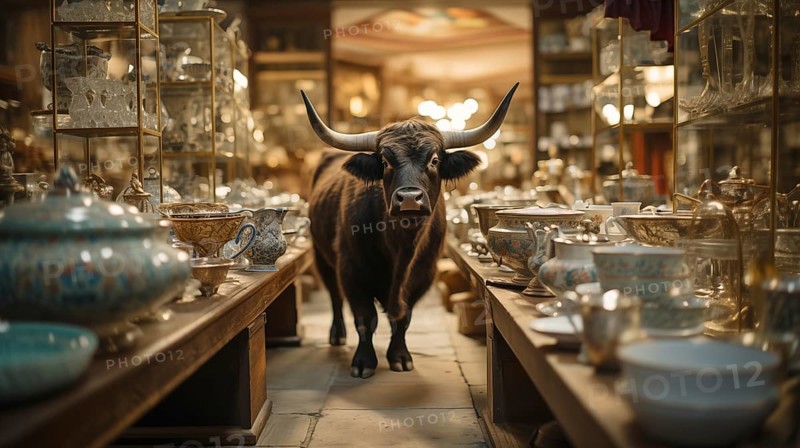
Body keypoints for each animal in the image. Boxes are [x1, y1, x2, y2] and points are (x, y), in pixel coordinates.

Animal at [301, 84, 518, 378]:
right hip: (321, 255)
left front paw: (400, 357)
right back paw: (337, 335)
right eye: (385, 161)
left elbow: (403, 319)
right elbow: (365, 318)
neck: (400, 246)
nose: (409, 199)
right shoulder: (352, 270)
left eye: (435, 160)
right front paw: (363, 361)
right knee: (335, 295)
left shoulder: (422, 274)